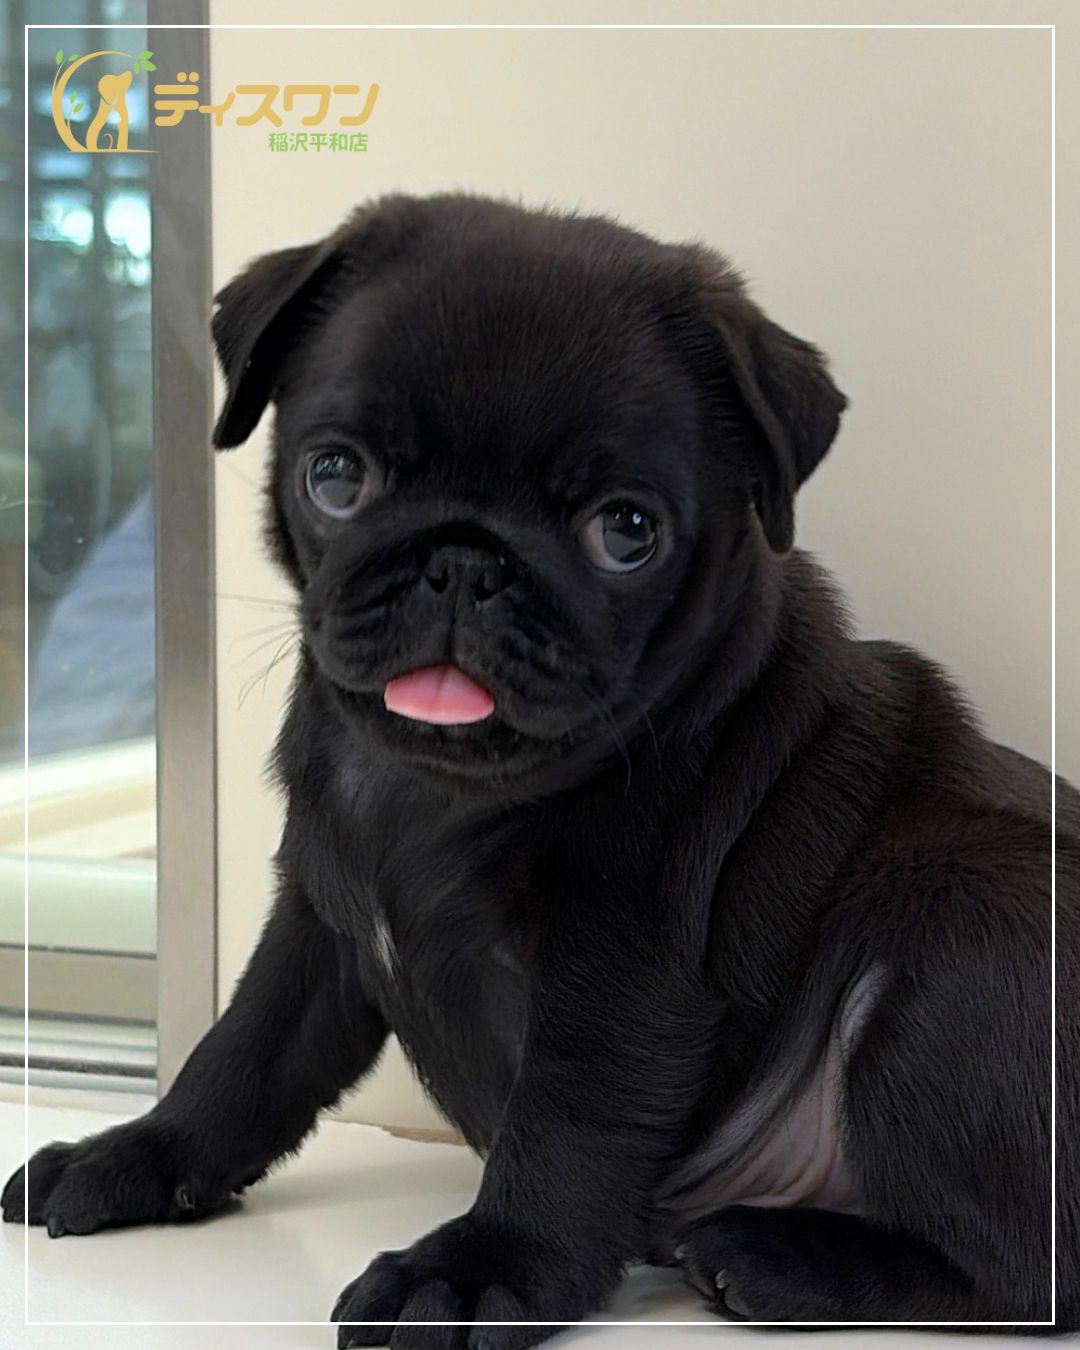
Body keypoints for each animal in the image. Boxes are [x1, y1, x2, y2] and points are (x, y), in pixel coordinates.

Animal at [5, 193, 1077, 1345]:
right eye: (336, 475)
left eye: (627, 532)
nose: (465, 561)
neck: (432, 790)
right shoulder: (319, 926)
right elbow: (241, 1056)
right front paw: (137, 1151)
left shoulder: (618, 964)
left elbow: (564, 1124)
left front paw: (481, 1266)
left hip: (963, 919)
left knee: (1025, 1272)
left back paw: (778, 1259)